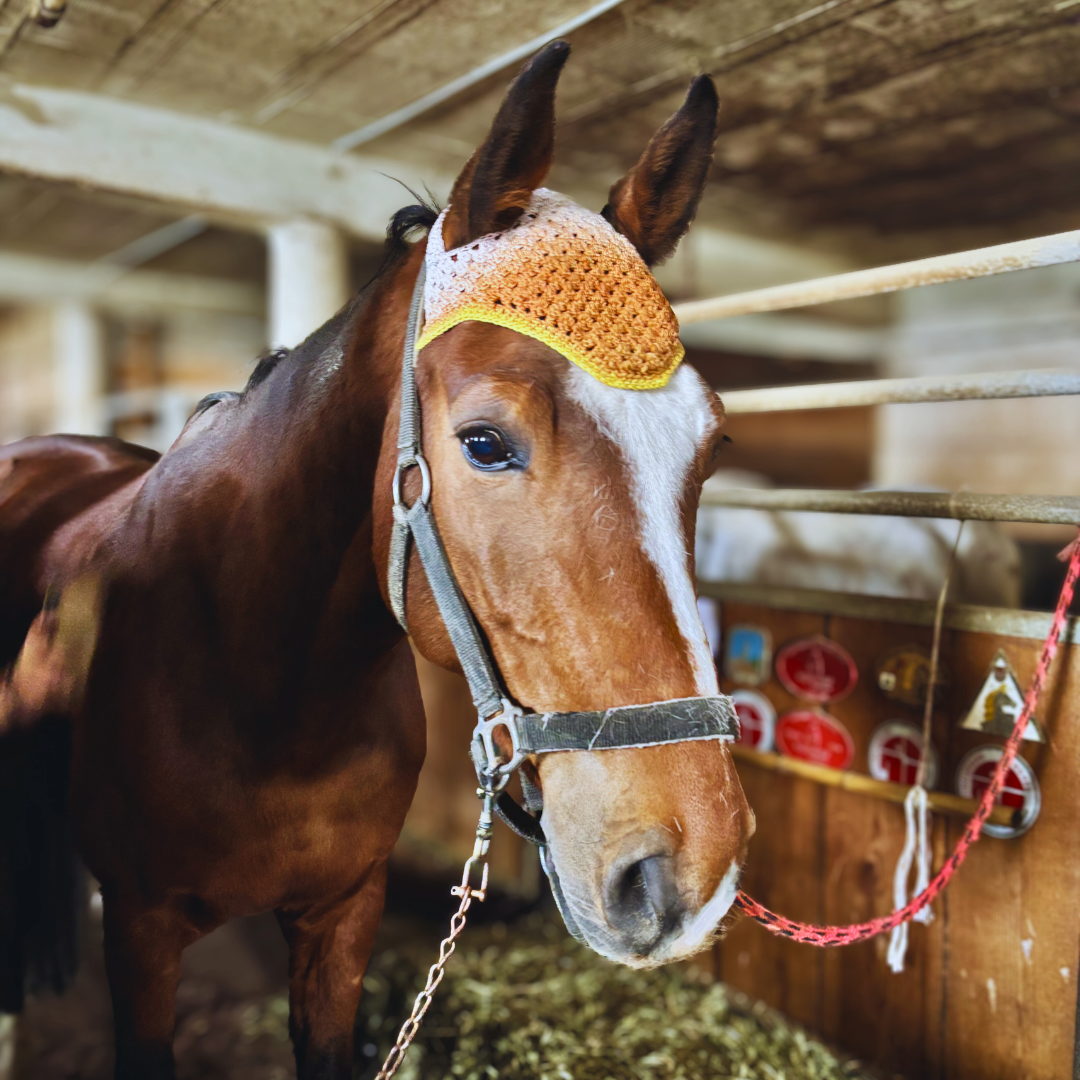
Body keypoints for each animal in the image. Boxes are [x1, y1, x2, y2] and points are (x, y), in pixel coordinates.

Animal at [0, 42, 754, 1079]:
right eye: (485, 443)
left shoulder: (343, 920)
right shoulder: (141, 938)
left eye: (711, 445)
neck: (266, 692)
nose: (690, 871)